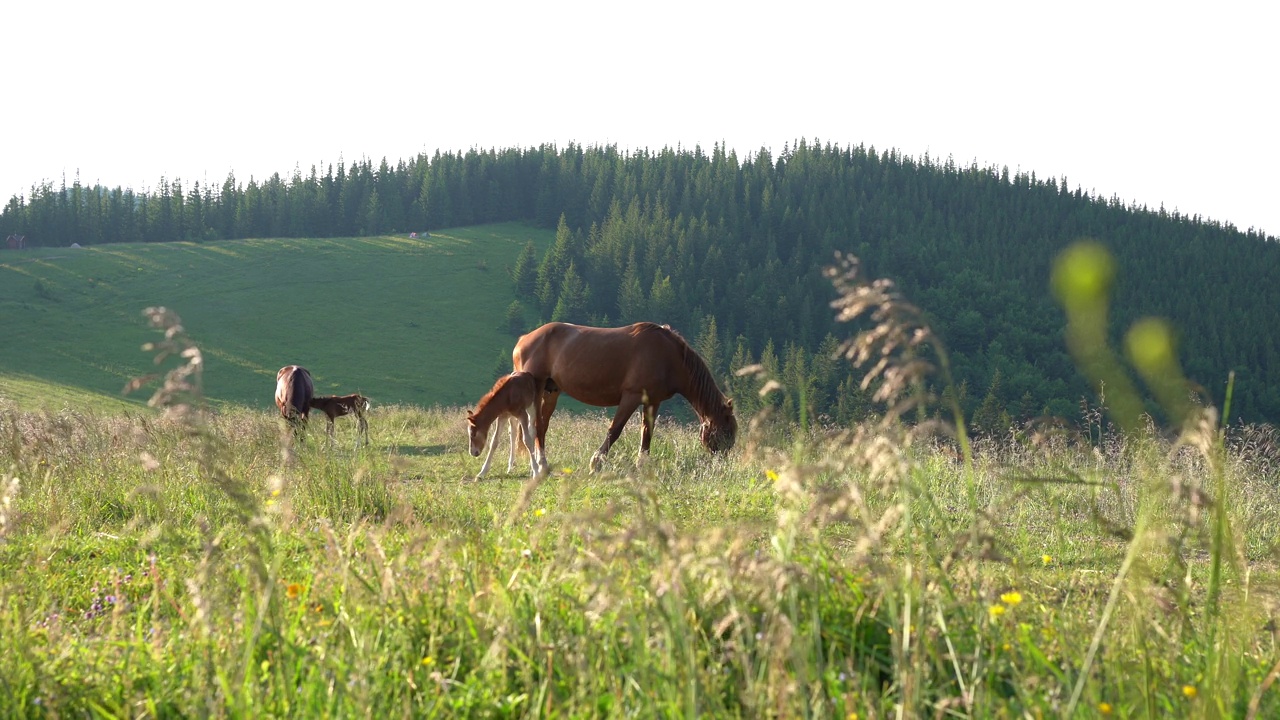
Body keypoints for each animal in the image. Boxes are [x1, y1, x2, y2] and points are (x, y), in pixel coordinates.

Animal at [506, 320, 737, 471]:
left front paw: (642, 464)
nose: (722, 462)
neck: (668, 357)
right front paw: (596, 462)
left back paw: (542, 462)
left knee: (542, 427)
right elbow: (614, 430)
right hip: (537, 390)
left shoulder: (652, 401)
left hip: (551, 392)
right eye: (726, 432)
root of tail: (523, 340)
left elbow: (647, 432)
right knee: (535, 426)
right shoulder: (631, 397)